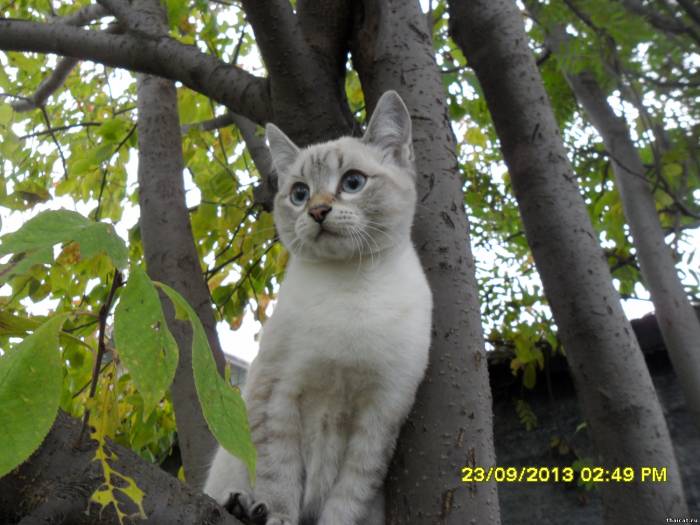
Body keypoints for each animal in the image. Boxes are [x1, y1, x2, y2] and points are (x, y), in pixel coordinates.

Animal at [204, 91, 432, 525]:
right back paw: (240, 507)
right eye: (299, 193)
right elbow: (279, 478)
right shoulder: (277, 394)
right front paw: (275, 517)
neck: (351, 286)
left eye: (353, 183)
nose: (317, 211)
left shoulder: (379, 416)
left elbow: (346, 500)